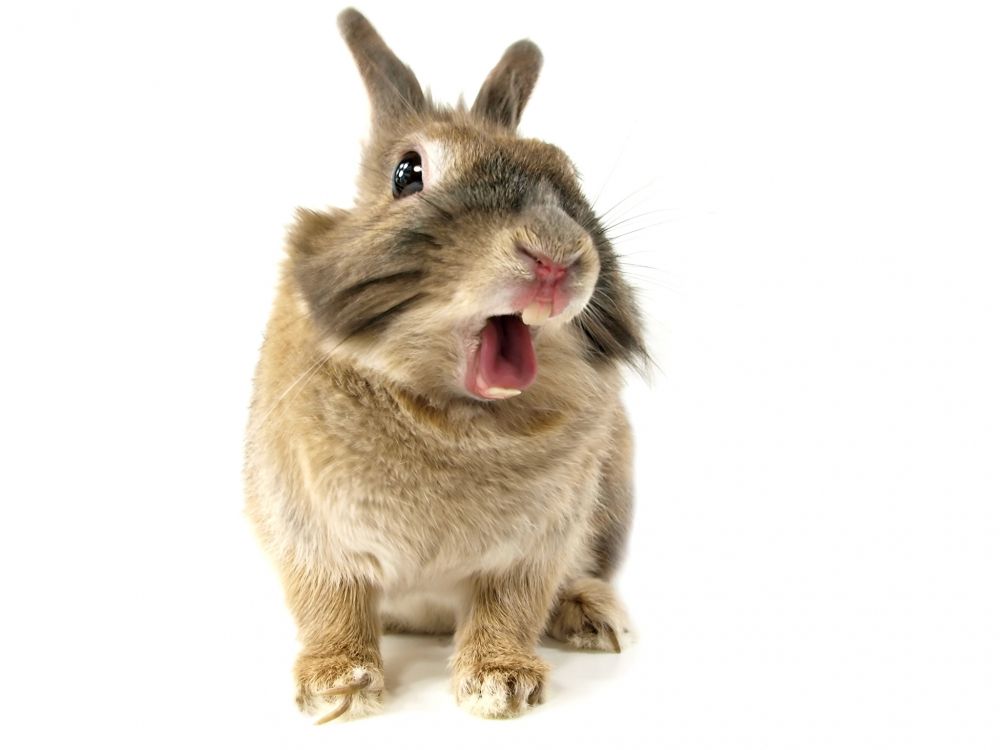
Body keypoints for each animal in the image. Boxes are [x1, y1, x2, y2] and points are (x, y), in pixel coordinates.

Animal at [244, 7, 648, 722]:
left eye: (565, 171)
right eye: (408, 172)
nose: (555, 256)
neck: (454, 418)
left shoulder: (535, 549)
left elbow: (510, 607)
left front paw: (501, 684)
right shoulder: (305, 528)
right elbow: (328, 604)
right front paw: (336, 686)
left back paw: (592, 615)